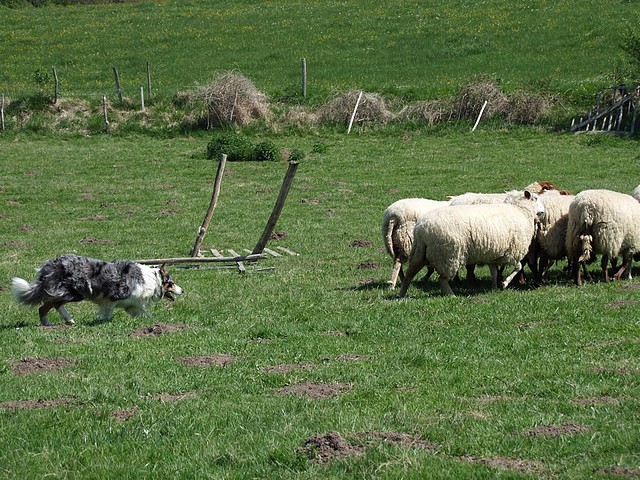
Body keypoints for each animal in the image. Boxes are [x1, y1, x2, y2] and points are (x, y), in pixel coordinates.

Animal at [398, 190, 544, 296]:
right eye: (535, 198)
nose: (543, 212)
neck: (520, 210)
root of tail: (421, 228)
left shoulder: (493, 254)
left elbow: (494, 272)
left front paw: (495, 287)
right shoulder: (511, 252)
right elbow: (518, 267)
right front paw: (504, 283)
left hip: (420, 252)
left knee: (409, 274)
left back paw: (401, 294)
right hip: (447, 255)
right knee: (442, 279)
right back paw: (451, 294)